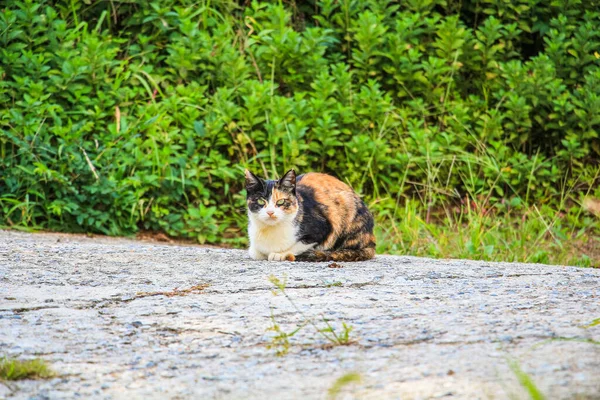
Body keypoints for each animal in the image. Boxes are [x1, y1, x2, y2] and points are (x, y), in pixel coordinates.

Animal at [245, 169, 376, 262]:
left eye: (281, 201)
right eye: (261, 201)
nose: (270, 212)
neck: (269, 230)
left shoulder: (323, 229)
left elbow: (300, 244)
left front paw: (280, 254)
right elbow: (254, 252)